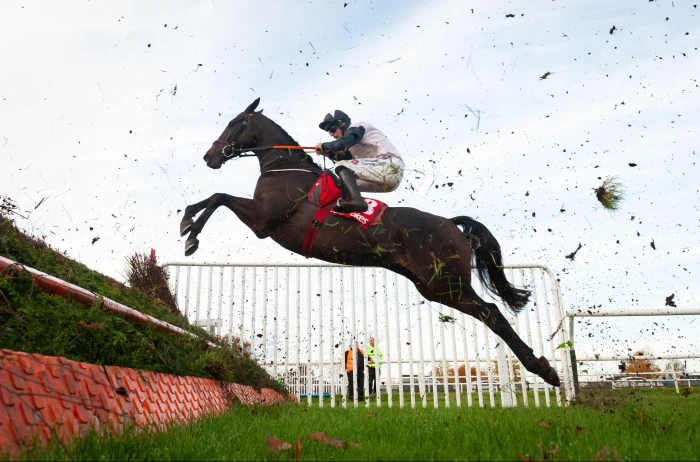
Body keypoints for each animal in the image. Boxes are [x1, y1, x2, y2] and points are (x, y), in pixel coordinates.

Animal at [180, 98, 561, 387]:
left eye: (234, 123)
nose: (210, 156)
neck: (284, 167)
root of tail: (452, 225)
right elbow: (215, 198)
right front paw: (186, 222)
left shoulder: (263, 220)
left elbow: (219, 197)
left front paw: (190, 233)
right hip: (433, 288)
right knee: (488, 313)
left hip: (447, 283)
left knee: (493, 313)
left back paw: (544, 369)